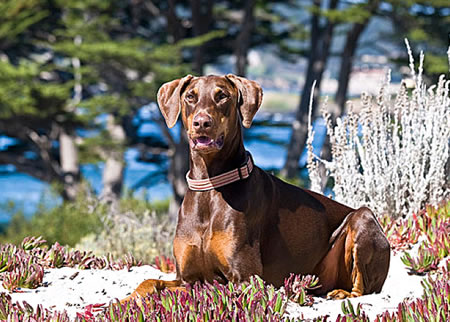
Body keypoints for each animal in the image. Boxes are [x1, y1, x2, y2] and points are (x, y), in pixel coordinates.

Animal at [122, 74, 390, 304]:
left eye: (222, 96)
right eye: (190, 96)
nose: (202, 122)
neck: (210, 187)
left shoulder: (245, 279)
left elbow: (199, 290)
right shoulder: (185, 276)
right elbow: (149, 282)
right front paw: (123, 301)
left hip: (363, 219)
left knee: (363, 287)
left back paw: (344, 293)